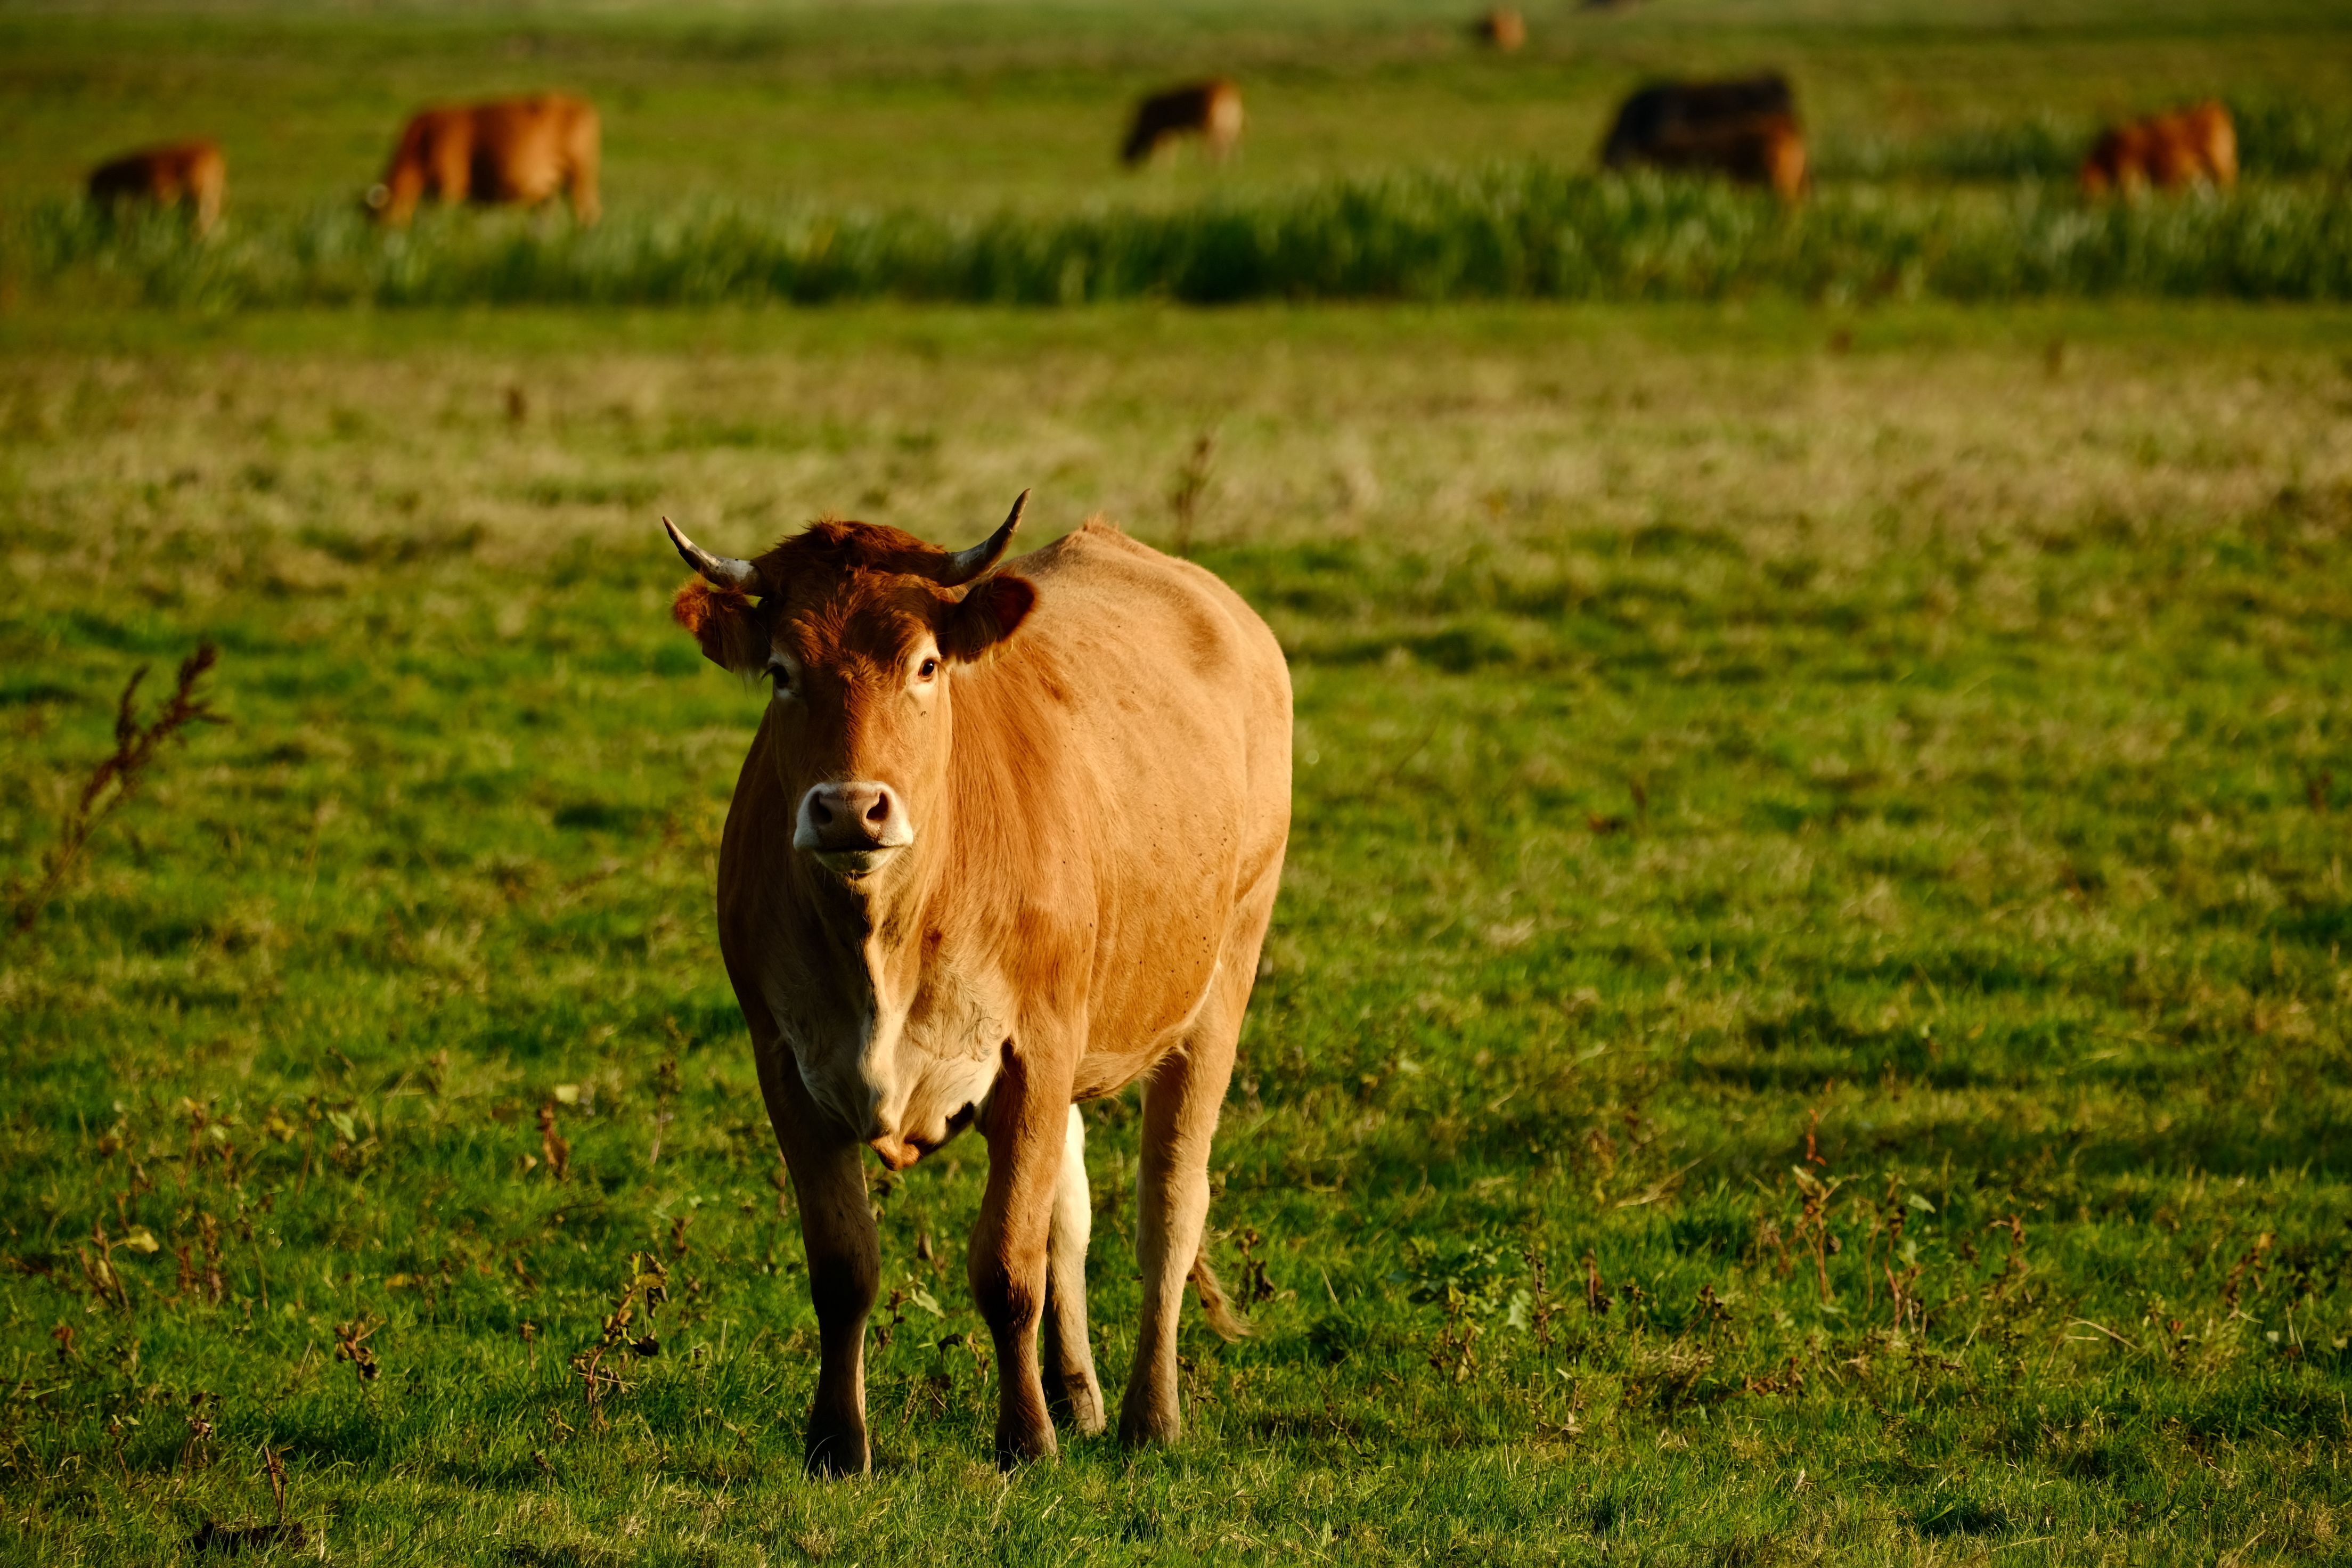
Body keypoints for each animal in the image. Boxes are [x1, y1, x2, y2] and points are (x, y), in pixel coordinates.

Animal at [365, 94, 600, 225]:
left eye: (380, 218)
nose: (380, 244)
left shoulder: (450, 189)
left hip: (581, 177)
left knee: (588, 214)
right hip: (549, 191)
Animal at [662, 494, 1292, 1472]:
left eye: (924, 664)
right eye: (781, 671)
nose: (850, 808)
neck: (881, 937)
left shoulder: (1032, 1053)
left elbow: (1005, 1264)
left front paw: (1025, 1437)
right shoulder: (785, 1062)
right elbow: (844, 1265)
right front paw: (836, 1442)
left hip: (1221, 982)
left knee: (1170, 1206)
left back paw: (1151, 1416)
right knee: (1071, 1214)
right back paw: (1079, 1395)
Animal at [1122, 81, 1245, 167]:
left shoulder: (1160, 131)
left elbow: (1162, 150)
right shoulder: (1171, 132)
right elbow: (1171, 149)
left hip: (1212, 122)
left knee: (1217, 142)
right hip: (1230, 121)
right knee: (1230, 141)